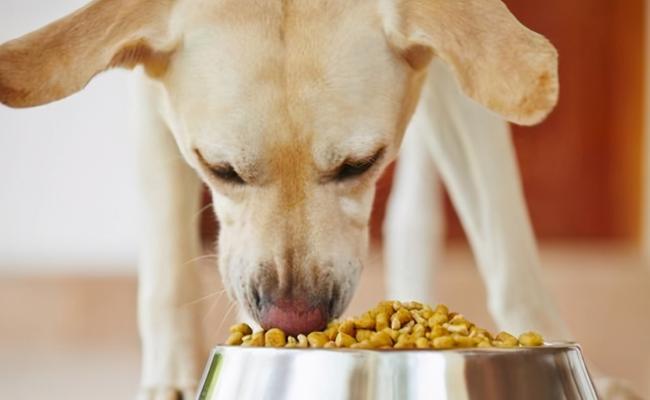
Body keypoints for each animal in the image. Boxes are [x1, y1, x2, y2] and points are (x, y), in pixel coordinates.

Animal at [0, 0, 636, 400]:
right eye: (219, 168)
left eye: (361, 163)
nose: (293, 320)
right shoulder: (154, 97)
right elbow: (165, 261)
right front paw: (172, 379)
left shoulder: (469, 62)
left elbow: (507, 247)